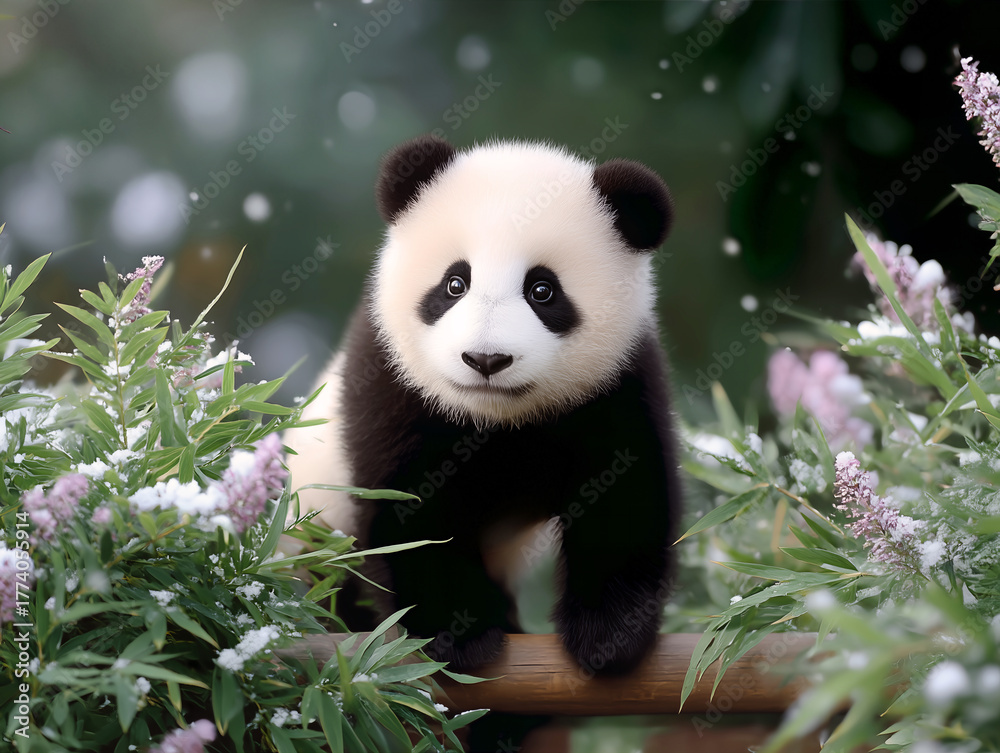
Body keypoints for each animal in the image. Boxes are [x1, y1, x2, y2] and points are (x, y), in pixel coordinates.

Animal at [287, 134, 681, 676]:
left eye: (542, 290)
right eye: (455, 283)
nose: (486, 359)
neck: (498, 419)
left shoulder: (617, 383)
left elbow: (626, 501)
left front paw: (607, 636)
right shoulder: (392, 382)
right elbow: (411, 512)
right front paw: (459, 636)